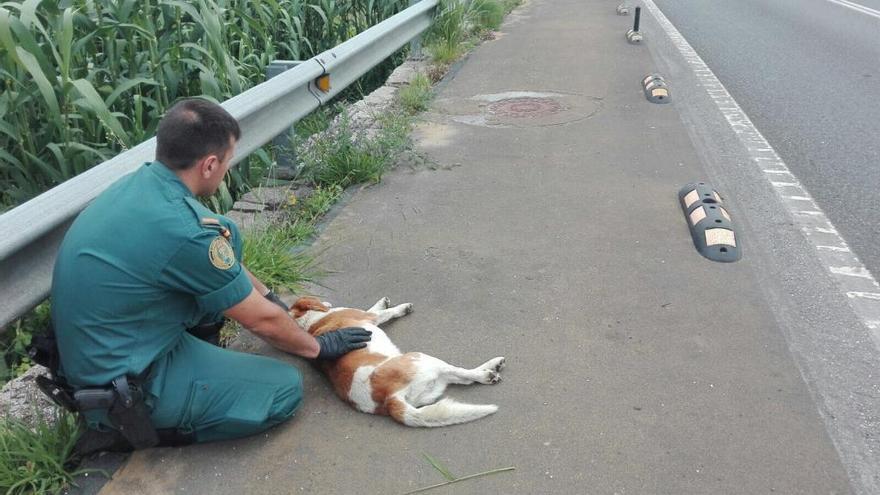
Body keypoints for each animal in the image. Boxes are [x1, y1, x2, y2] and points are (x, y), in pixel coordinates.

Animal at [292, 296, 506, 428]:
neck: (308, 323)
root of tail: (389, 399)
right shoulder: (370, 317)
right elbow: (387, 312)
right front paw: (400, 308)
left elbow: (377, 308)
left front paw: (383, 302)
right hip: (422, 358)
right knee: (465, 374)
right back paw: (489, 371)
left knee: (460, 378)